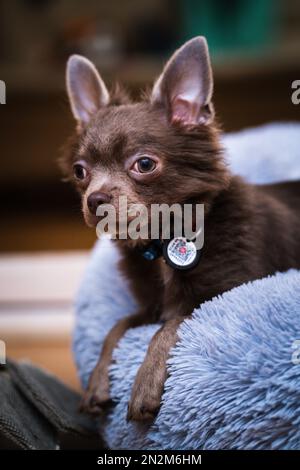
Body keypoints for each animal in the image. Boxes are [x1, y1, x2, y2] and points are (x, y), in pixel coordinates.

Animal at [62, 37, 300, 422]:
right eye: (80, 171)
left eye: (144, 164)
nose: (94, 199)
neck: (161, 239)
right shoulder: (151, 306)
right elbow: (116, 327)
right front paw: (97, 381)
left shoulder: (223, 292)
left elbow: (170, 325)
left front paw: (144, 385)